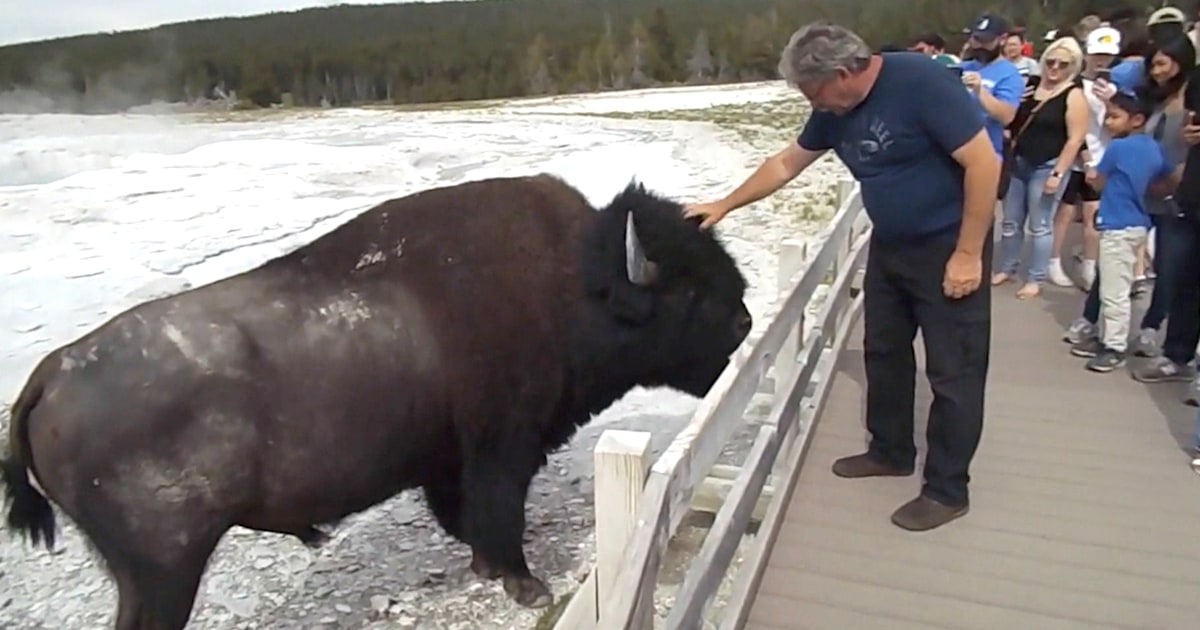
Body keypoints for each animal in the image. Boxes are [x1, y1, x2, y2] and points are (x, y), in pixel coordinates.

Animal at [1, 173, 751, 629]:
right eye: (688, 292)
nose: (747, 322)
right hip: (162, 572)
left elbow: (468, 518)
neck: (575, 282)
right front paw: (523, 583)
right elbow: (498, 515)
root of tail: (51, 374)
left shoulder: (450, 462)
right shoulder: (500, 449)